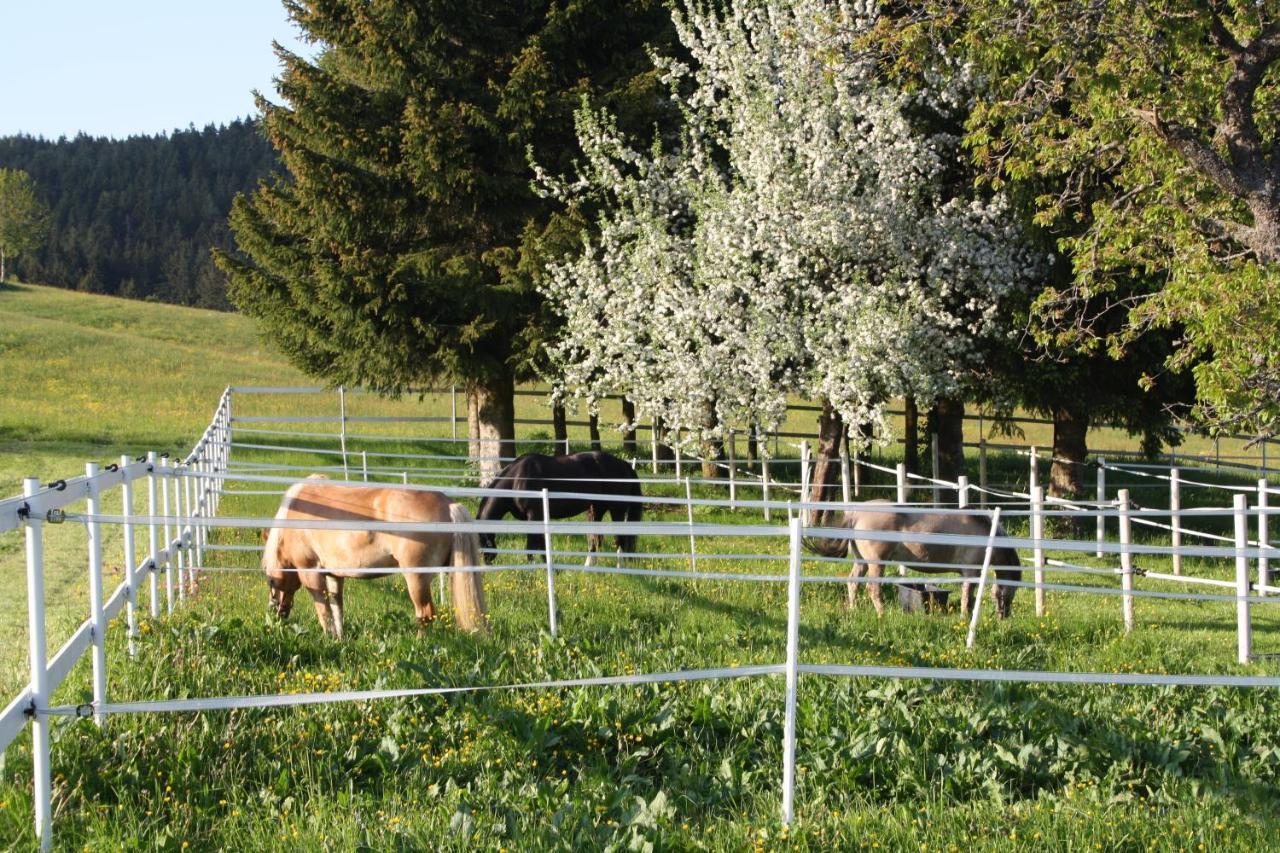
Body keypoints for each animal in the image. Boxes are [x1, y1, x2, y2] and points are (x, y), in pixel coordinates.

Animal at [262, 473, 486, 635]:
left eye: (271, 581)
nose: (275, 614)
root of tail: (448, 505)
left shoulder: (311, 572)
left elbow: (324, 611)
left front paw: (328, 638)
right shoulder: (335, 576)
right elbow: (337, 608)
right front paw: (339, 639)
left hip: (416, 579)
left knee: (425, 614)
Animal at [478, 448, 645, 560]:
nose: (486, 562)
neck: (518, 478)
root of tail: (624, 465)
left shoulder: (534, 516)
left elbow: (532, 546)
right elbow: (542, 545)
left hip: (617, 509)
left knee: (620, 540)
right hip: (596, 509)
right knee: (595, 540)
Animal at [803, 494, 1024, 614]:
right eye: (1010, 591)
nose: (1004, 615)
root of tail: (855, 514)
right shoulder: (971, 573)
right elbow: (967, 599)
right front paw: (965, 617)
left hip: (862, 562)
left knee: (853, 583)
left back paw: (853, 609)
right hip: (877, 563)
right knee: (873, 589)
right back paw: (882, 614)